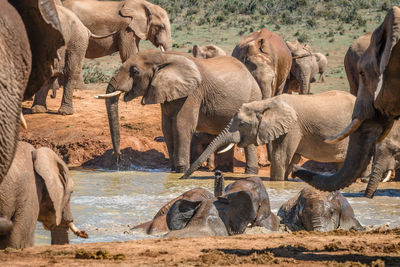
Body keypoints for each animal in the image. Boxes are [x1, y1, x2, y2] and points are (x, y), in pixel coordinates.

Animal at [97, 50, 262, 174]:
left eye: (134, 71)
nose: (118, 157)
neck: (164, 57)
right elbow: (167, 127)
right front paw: (173, 170)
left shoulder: (193, 93)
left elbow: (181, 125)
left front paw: (182, 170)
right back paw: (224, 171)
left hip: (252, 97)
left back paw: (250, 173)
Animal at [181, 90, 356, 182]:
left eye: (242, 124)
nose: (181, 178)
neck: (266, 103)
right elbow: (292, 159)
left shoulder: (293, 127)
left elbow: (281, 157)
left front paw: (277, 183)